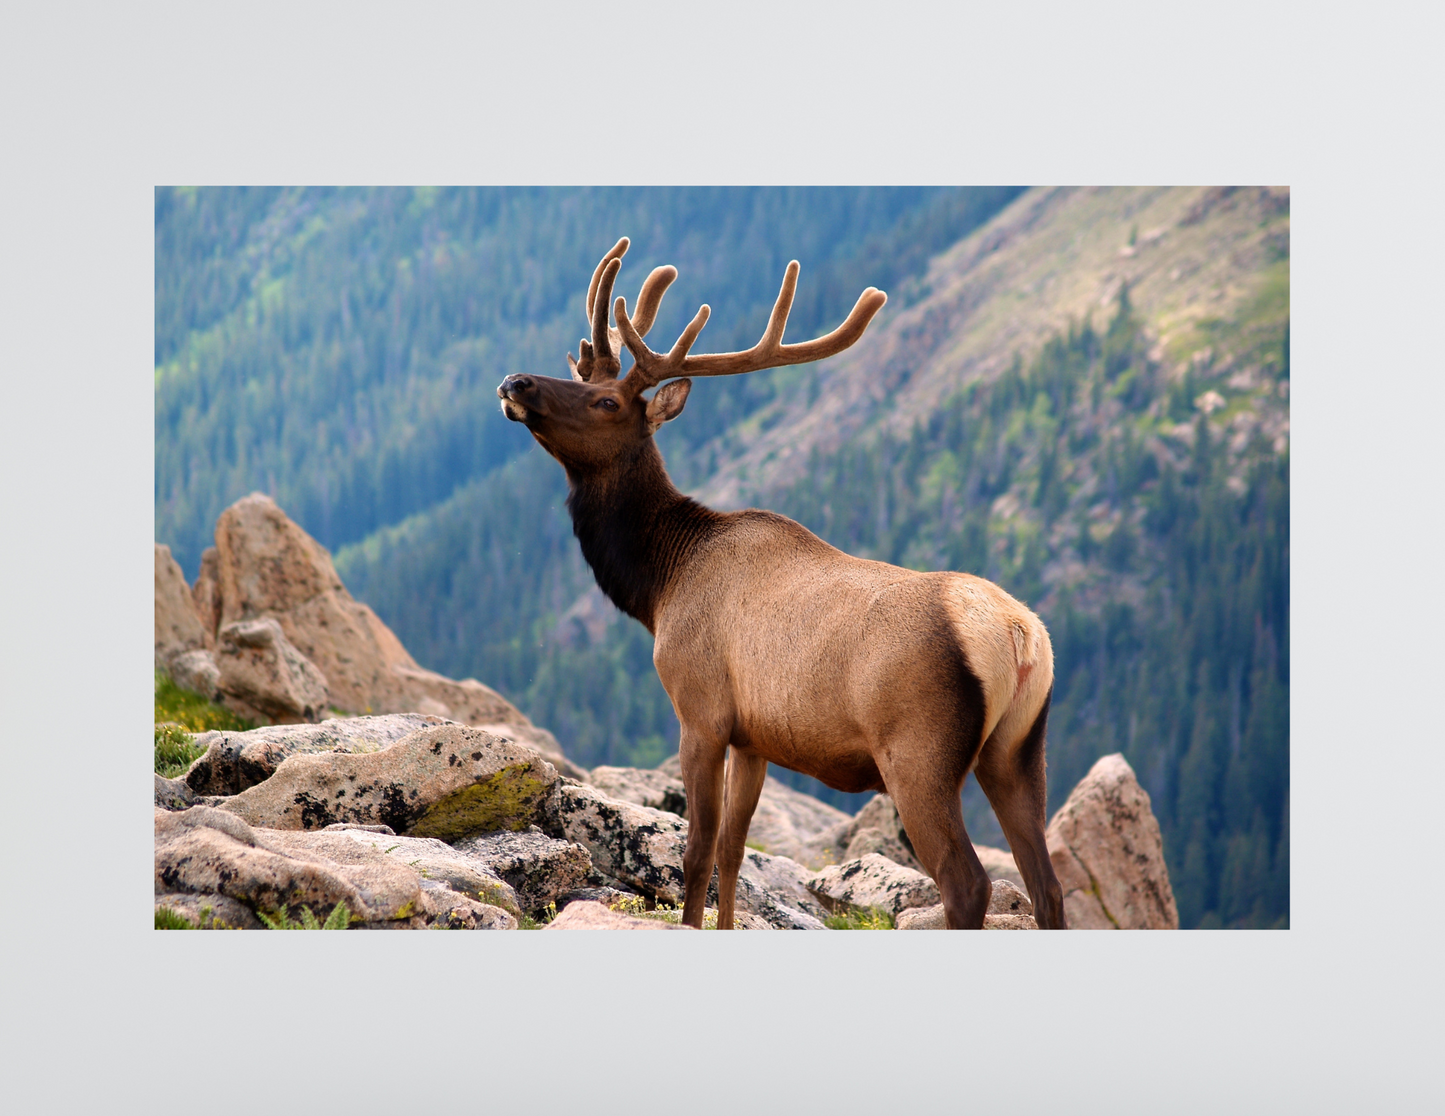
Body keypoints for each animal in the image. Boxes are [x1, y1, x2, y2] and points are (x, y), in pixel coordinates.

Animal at [497, 238, 1066, 929]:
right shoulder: (755, 738)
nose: (515, 382)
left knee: (968, 882)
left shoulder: (701, 708)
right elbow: (735, 850)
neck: (659, 585)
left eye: (607, 402)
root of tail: (1018, 635)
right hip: (1019, 750)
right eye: (584, 381)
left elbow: (697, 850)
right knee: (1048, 886)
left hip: (919, 753)